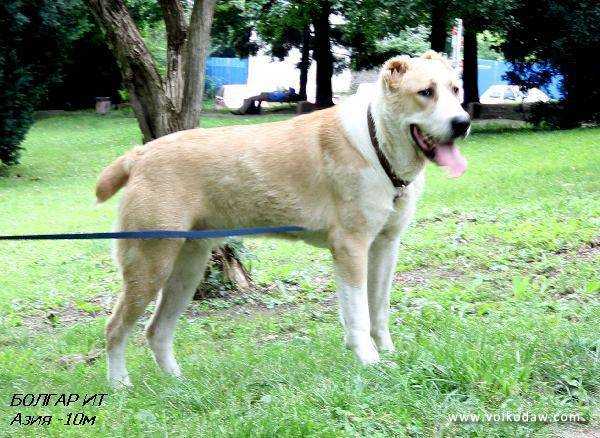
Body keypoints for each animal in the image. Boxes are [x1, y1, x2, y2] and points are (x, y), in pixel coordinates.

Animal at [96, 51, 472, 386]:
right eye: (425, 92)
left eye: (456, 90)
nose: (463, 123)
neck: (376, 140)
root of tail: (140, 154)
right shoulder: (350, 247)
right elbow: (359, 314)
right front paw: (369, 360)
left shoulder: (385, 246)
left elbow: (378, 309)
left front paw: (387, 353)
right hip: (150, 266)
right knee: (115, 329)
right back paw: (119, 385)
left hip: (186, 270)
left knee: (156, 330)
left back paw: (178, 383)